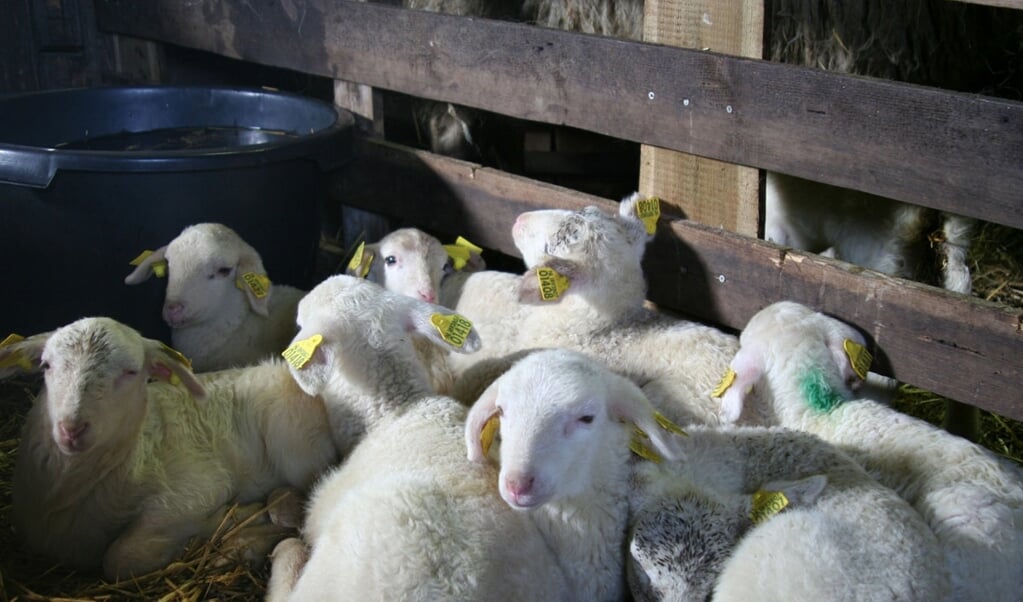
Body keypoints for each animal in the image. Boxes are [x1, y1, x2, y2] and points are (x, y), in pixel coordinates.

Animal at [0, 317, 335, 581]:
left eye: (131, 372)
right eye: (46, 365)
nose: (71, 428)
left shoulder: (199, 489)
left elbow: (120, 558)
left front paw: (235, 517)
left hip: (295, 447)